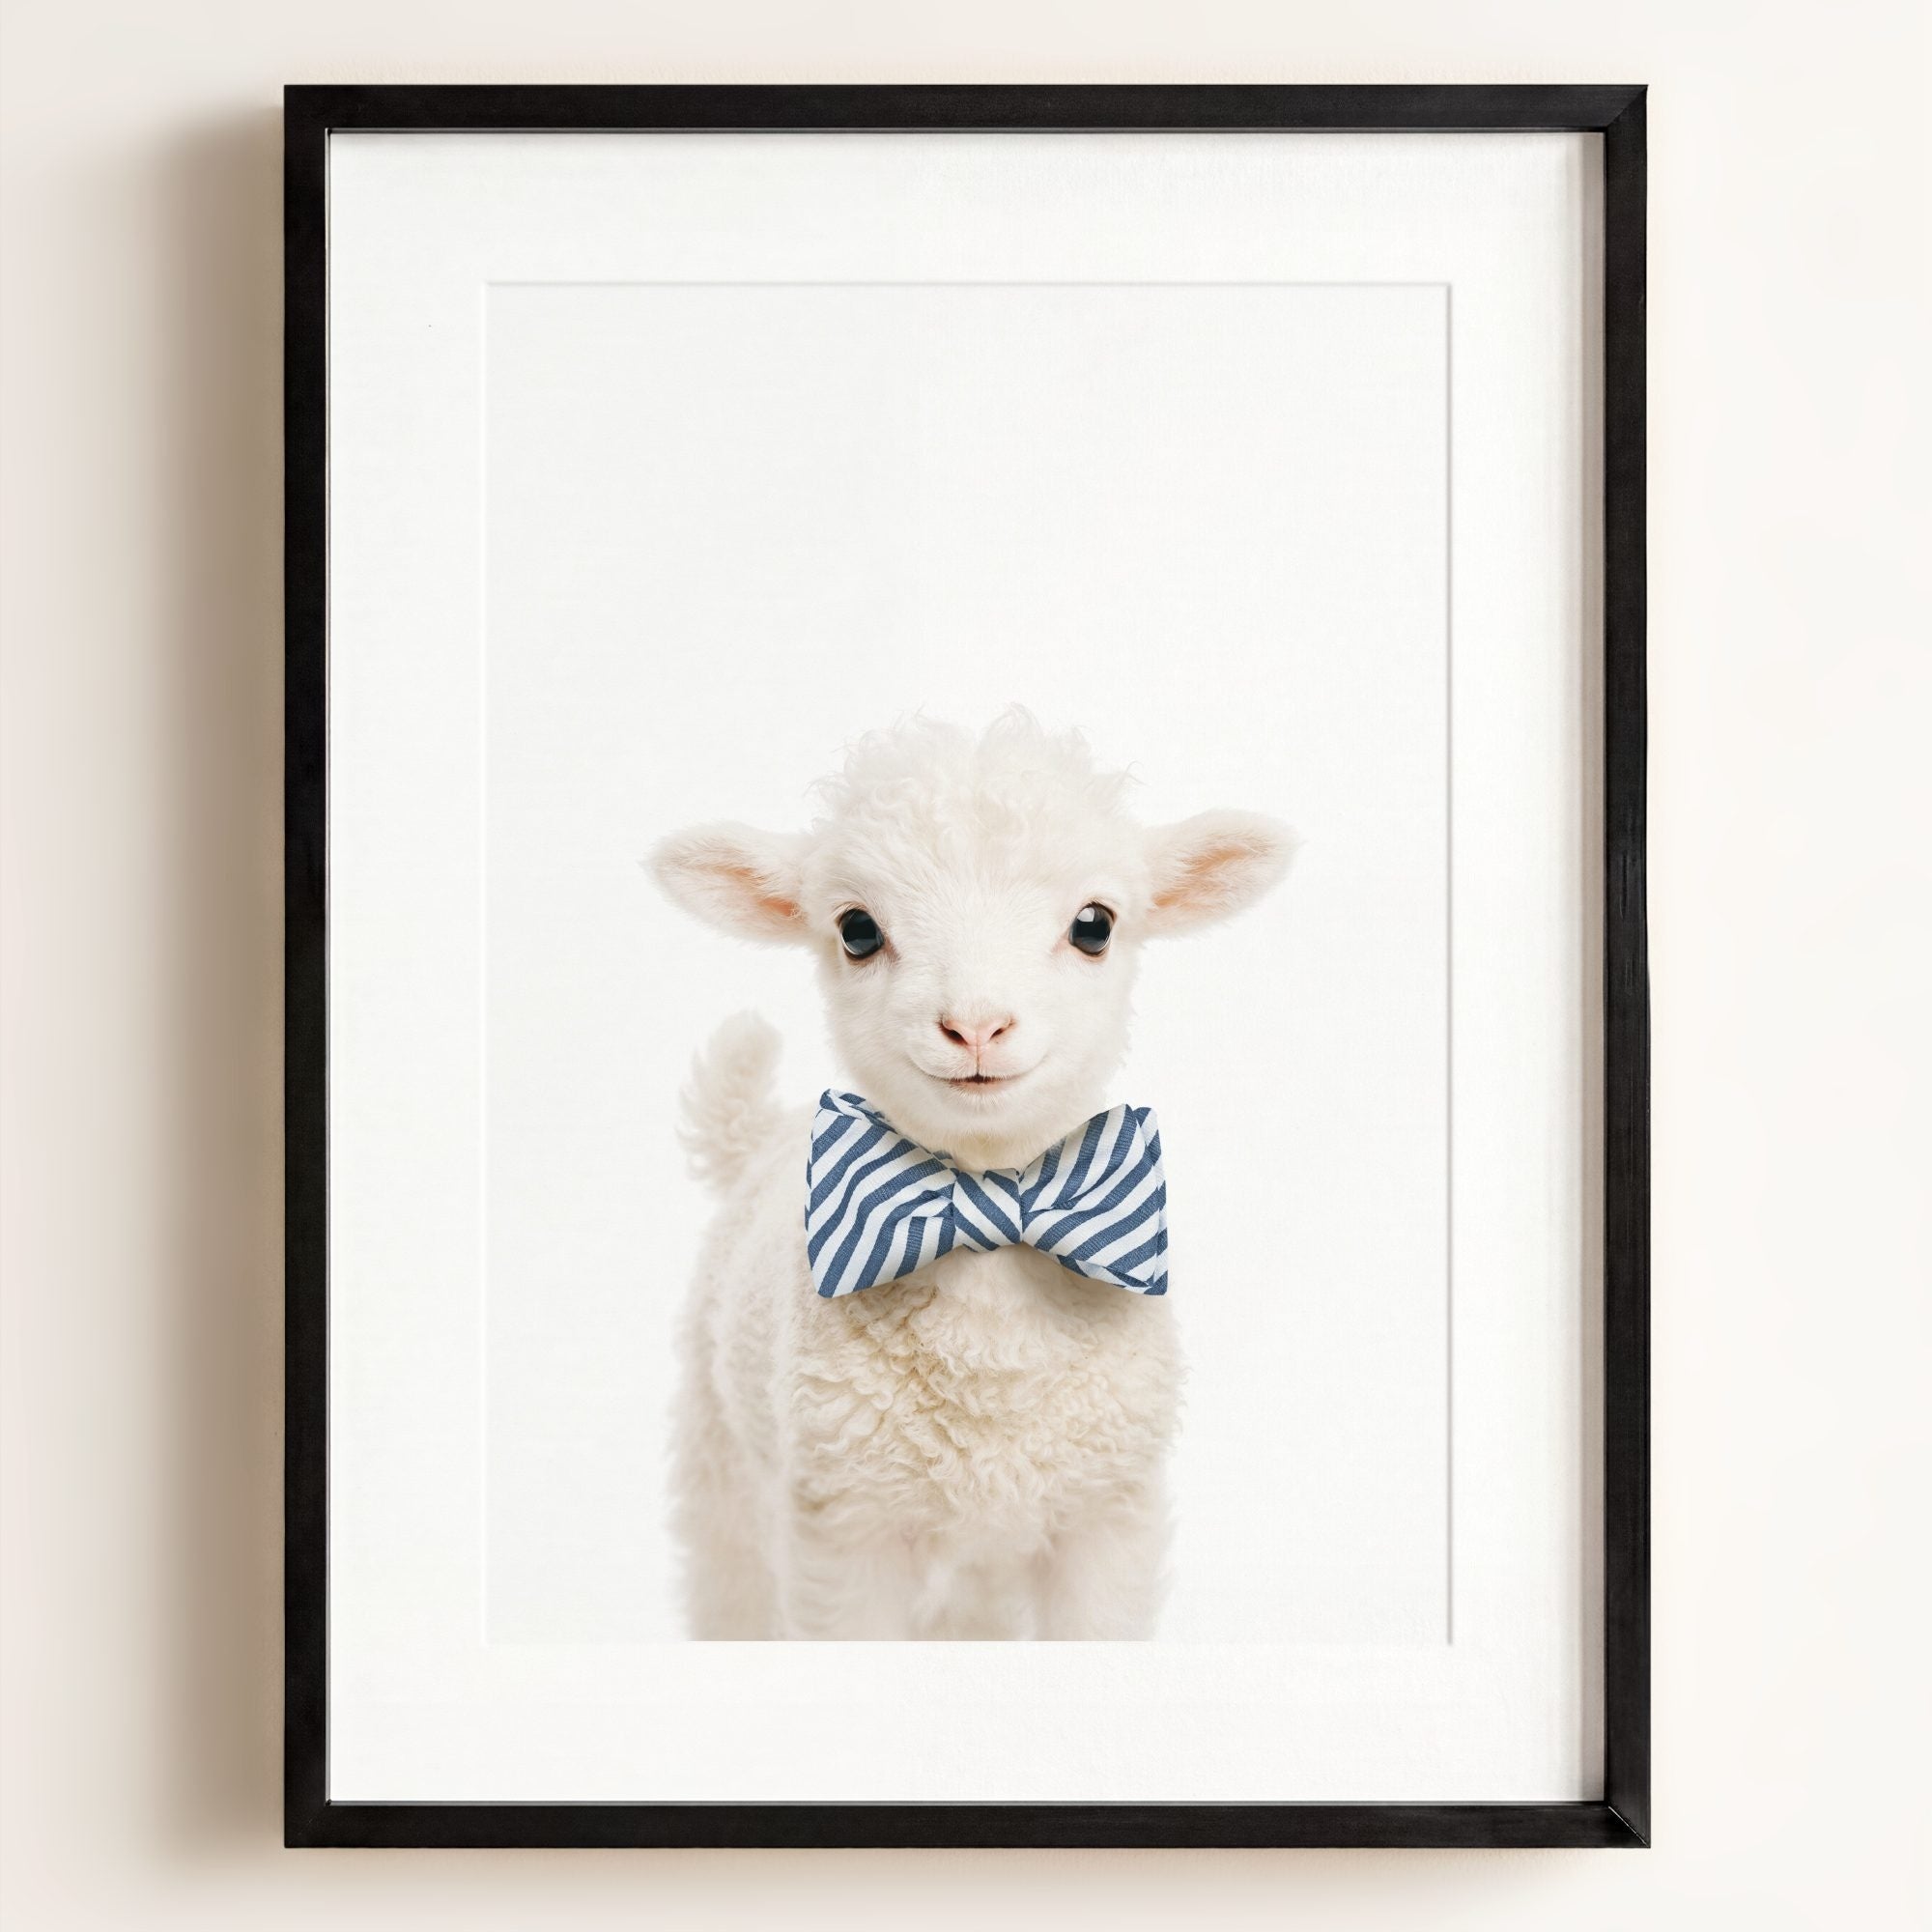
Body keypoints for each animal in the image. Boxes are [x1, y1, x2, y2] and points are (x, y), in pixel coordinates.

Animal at [649, 711, 1294, 1639]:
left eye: (1095, 925)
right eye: (856, 930)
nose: (977, 1025)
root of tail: (758, 1137)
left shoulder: (1107, 1517)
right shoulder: (845, 1529)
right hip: (724, 1464)